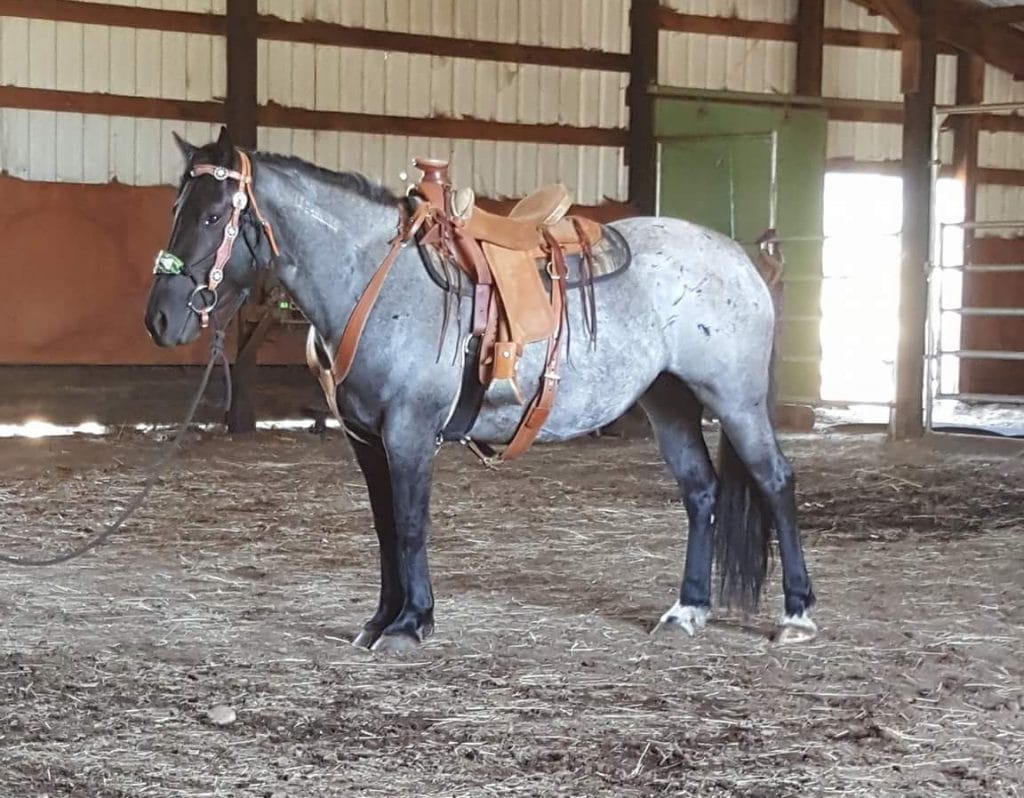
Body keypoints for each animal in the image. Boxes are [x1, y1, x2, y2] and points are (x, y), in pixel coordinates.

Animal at [142, 128, 815, 655]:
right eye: (176, 209)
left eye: (212, 217)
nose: (160, 319)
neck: (374, 277)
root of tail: (738, 256)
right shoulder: (366, 438)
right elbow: (385, 528)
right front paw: (381, 619)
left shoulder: (410, 431)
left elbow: (411, 525)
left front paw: (411, 624)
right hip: (669, 401)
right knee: (700, 491)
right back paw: (687, 610)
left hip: (735, 402)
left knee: (775, 481)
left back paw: (797, 615)